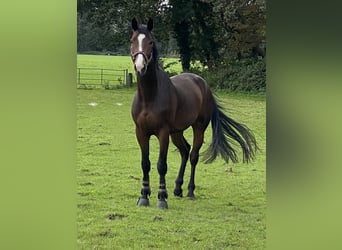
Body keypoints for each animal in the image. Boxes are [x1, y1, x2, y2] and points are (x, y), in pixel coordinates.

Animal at [130, 18, 256, 209]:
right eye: (132, 41)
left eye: (150, 42)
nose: (140, 66)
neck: (149, 97)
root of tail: (204, 85)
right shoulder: (141, 132)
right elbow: (145, 164)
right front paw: (144, 196)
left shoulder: (163, 133)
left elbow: (161, 165)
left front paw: (161, 199)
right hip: (177, 132)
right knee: (185, 150)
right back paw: (177, 189)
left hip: (198, 128)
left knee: (193, 155)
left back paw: (189, 191)